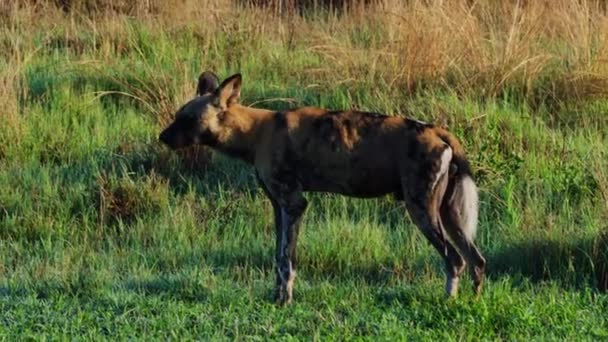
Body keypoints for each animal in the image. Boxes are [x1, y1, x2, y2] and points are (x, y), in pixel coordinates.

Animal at [159, 72, 486, 304]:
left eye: (188, 119)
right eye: (177, 115)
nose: (162, 137)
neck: (254, 132)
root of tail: (437, 130)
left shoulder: (294, 205)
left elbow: (287, 261)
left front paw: (285, 302)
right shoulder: (278, 207)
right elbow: (277, 257)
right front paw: (275, 298)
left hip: (421, 210)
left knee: (455, 260)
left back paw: (447, 301)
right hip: (448, 215)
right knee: (476, 260)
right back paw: (473, 302)